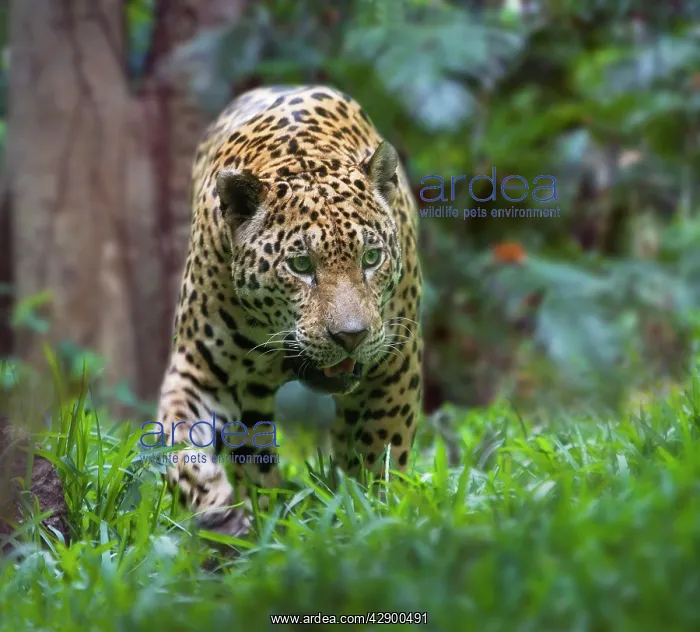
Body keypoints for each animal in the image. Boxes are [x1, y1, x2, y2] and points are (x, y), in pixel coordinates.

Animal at [155, 85, 423, 536]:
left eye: (371, 258)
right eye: (300, 266)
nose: (350, 336)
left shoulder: (396, 362)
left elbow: (380, 451)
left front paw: (374, 512)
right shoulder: (198, 370)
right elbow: (179, 441)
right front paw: (218, 509)